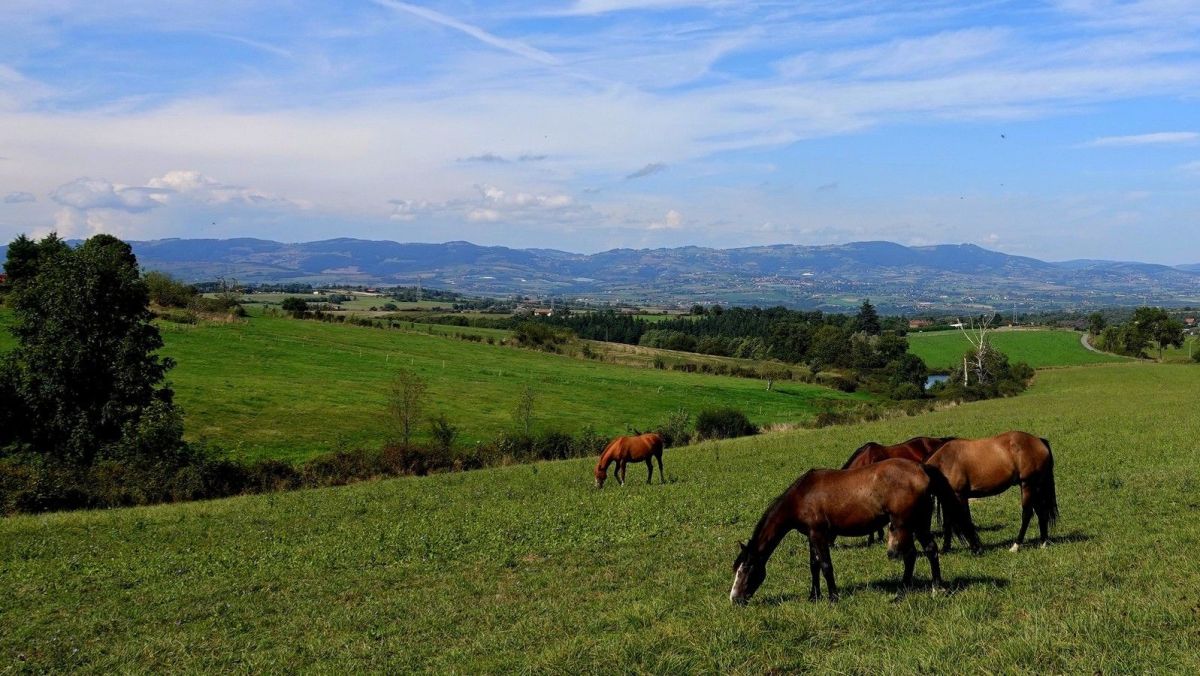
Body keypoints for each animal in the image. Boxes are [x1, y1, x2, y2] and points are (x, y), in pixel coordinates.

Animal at [724, 458, 979, 605]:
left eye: (746, 569)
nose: (734, 598)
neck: (802, 496)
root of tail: (921, 468)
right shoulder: (811, 535)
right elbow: (813, 565)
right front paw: (813, 596)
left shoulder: (819, 534)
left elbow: (825, 566)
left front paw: (832, 598)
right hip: (917, 524)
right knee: (924, 552)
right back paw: (914, 590)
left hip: (907, 525)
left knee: (916, 554)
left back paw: (922, 590)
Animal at [921, 432, 1056, 552]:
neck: (945, 462)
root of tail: (1038, 441)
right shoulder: (950, 497)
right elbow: (948, 523)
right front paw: (945, 549)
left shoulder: (959, 496)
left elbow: (965, 520)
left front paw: (976, 548)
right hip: (1035, 487)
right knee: (1041, 511)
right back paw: (1043, 543)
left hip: (1027, 484)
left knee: (1027, 513)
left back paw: (1016, 546)